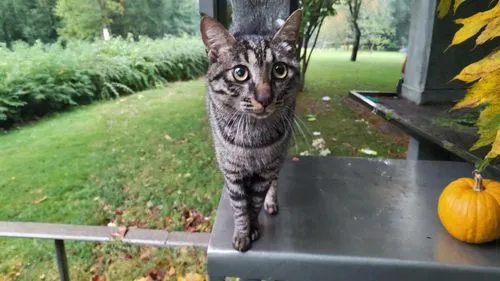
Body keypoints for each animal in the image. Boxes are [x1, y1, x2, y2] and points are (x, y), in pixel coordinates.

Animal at [198, 7, 300, 252]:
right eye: (240, 72)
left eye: (280, 70)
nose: (264, 98)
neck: (253, 138)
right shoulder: (232, 170)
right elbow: (239, 205)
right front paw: (243, 233)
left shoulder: (266, 170)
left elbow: (254, 203)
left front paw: (253, 227)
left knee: (276, 179)